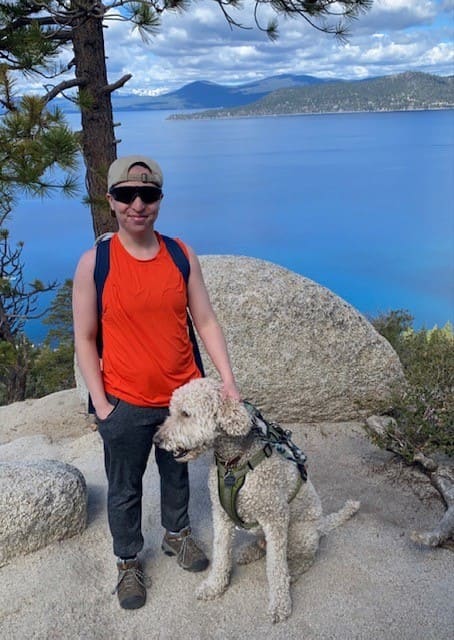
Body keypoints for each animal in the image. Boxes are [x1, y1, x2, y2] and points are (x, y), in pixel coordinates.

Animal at [154, 378, 360, 624]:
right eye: (171, 411)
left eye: (186, 414)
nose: (157, 439)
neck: (234, 462)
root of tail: (321, 525)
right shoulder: (221, 515)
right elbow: (221, 553)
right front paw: (214, 586)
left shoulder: (275, 518)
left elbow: (276, 567)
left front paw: (280, 604)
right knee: (264, 545)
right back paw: (250, 551)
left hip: (301, 534)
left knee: (304, 557)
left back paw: (293, 571)